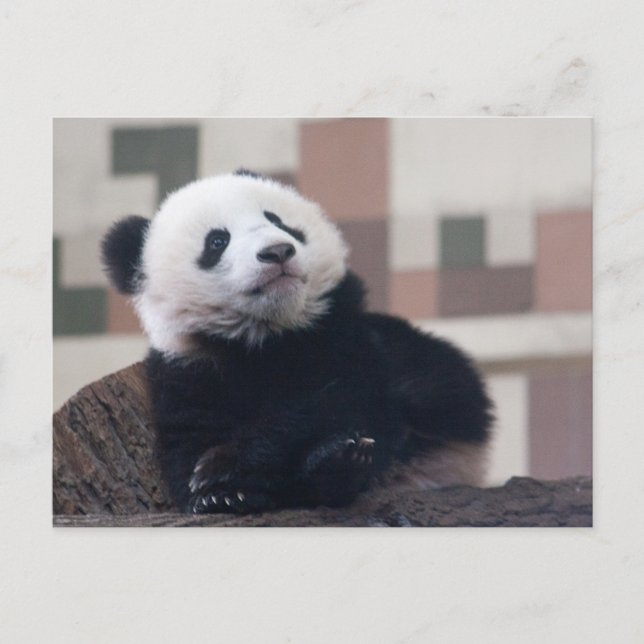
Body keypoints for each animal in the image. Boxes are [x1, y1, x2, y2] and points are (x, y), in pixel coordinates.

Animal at [101, 169, 493, 515]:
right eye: (217, 241)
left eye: (279, 221)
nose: (277, 251)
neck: (265, 336)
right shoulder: (189, 368)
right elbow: (186, 442)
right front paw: (218, 495)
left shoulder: (343, 335)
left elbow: (337, 399)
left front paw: (223, 465)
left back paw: (339, 463)